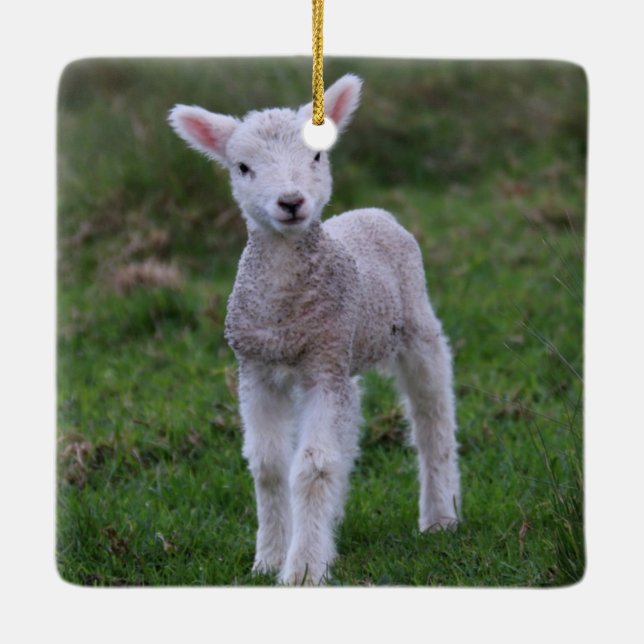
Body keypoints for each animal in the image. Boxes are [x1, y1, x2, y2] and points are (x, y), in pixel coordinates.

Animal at [168, 74, 460, 585]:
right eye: (242, 167)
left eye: (318, 157)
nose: (291, 202)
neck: (285, 310)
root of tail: (373, 212)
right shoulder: (258, 369)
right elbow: (269, 466)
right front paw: (268, 559)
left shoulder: (323, 368)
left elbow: (312, 468)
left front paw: (303, 568)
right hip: (345, 352)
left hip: (414, 325)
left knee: (432, 418)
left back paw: (440, 516)